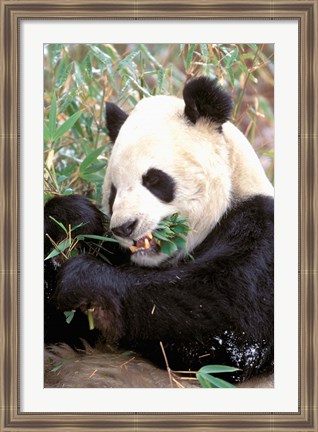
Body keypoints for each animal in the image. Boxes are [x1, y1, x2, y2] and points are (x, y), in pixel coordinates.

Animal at [44, 76, 274, 386]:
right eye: (113, 191)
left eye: (154, 180)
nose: (124, 227)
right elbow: (59, 326)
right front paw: (72, 217)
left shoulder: (262, 232)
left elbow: (229, 325)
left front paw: (85, 280)